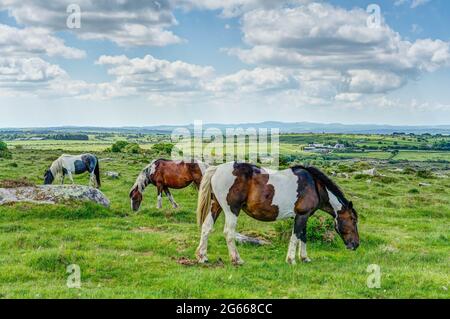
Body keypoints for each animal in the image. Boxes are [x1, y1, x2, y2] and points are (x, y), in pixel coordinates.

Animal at [195, 162, 360, 264]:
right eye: (353, 219)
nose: (356, 244)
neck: (314, 185)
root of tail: (217, 169)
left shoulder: (304, 216)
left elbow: (303, 237)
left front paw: (304, 258)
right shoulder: (301, 215)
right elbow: (295, 237)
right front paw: (291, 260)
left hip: (215, 206)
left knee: (206, 228)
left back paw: (202, 257)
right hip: (232, 210)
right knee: (229, 232)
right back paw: (237, 260)